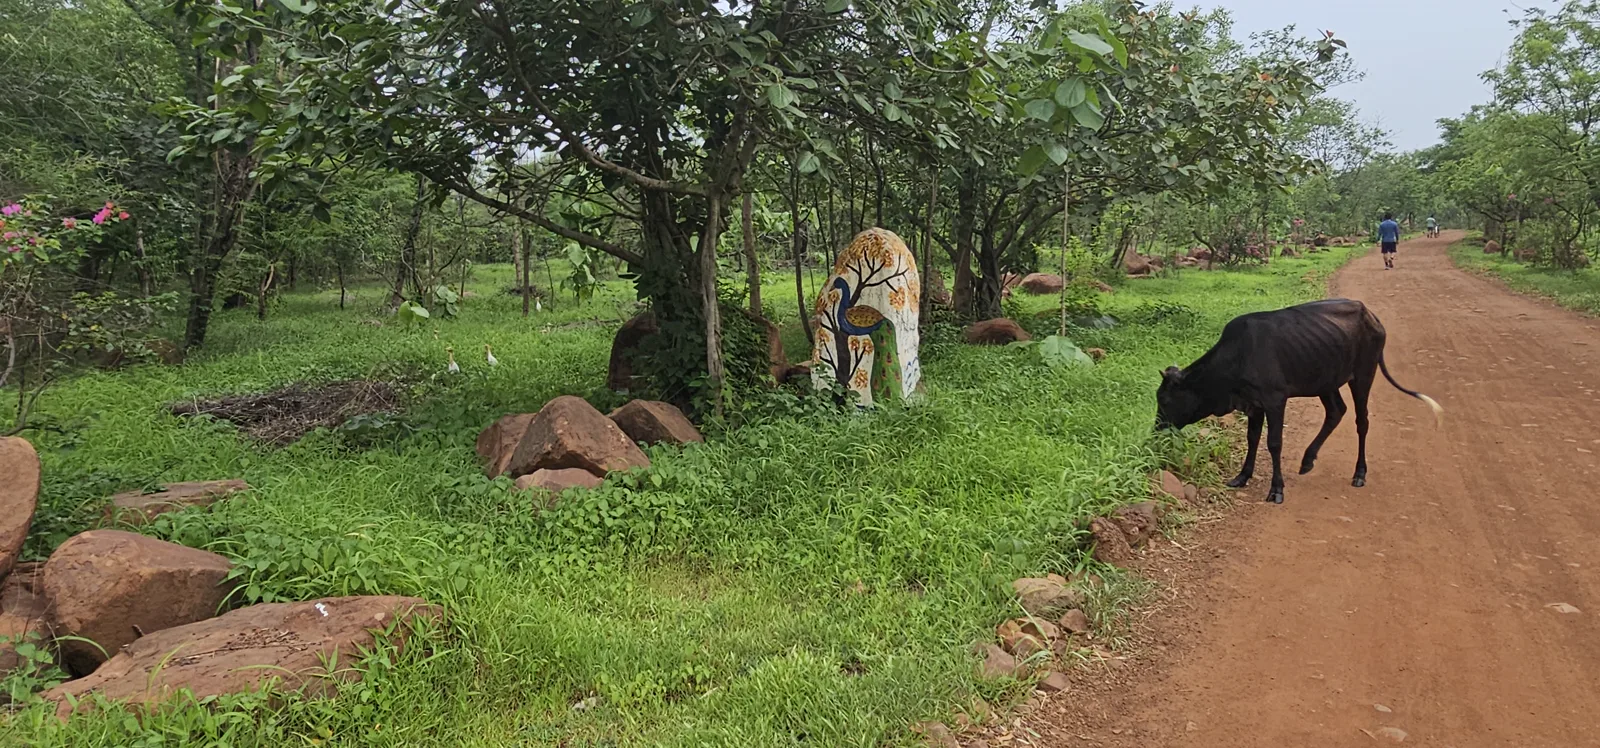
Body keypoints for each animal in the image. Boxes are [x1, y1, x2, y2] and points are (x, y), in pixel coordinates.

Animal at [1154, 299, 1442, 504]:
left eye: (1165, 401)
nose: (1157, 432)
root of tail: (1369, 313)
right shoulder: (1254, 404)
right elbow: (1252, 438)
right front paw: (1242, 476)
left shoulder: (1274, 400)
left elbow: (1274, 443)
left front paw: (1276, 489)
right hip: (1326, 380)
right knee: (1336, 412)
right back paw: (1308, 459)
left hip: (1363, 375)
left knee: (1362, 421)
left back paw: (1359, 473)